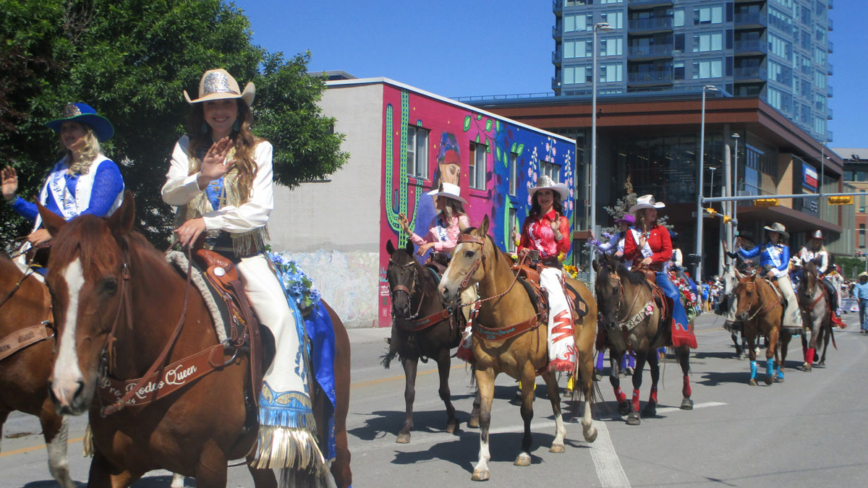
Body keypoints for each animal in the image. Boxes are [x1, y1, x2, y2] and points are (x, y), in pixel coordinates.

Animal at [37, 193, 350, 488]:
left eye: (110, 284)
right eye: (50, 285)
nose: (66, 388)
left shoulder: (210, 463)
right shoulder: (112, 465)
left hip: (332, 424)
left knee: (342, 467)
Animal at [384, 238, 464, 444]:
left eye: (411, 273)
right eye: (389, 273)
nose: (400, 307)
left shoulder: (443, 354)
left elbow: (444, 390)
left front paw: (452, 421)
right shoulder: (408, 355)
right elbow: (409, 392)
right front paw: (406, 429)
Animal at [434, 218, 596, 484]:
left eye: (469, 253)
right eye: (450, 253)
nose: (444, 290)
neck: (503, 311)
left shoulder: (526, 371)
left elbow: (526, 412)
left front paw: (524, 452)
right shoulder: (485, 370)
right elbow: (485, 416)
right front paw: (482, 464)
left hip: (584, 354)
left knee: (588, 387)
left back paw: (589, 429)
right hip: (548, 366)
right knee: (554, 396)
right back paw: (559, 438)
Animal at [592, 255, 696, 428]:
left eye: (615, 289)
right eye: (597, 290)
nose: (609, 324)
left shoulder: (641, 347)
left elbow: (637, 378)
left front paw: (634, 412)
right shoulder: (616, 347)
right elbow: (614, 378)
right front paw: (624, 405)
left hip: (682, 343)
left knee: (685, 367)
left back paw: (686, 399)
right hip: (653, 348)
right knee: (655, 372)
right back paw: (651, 405)